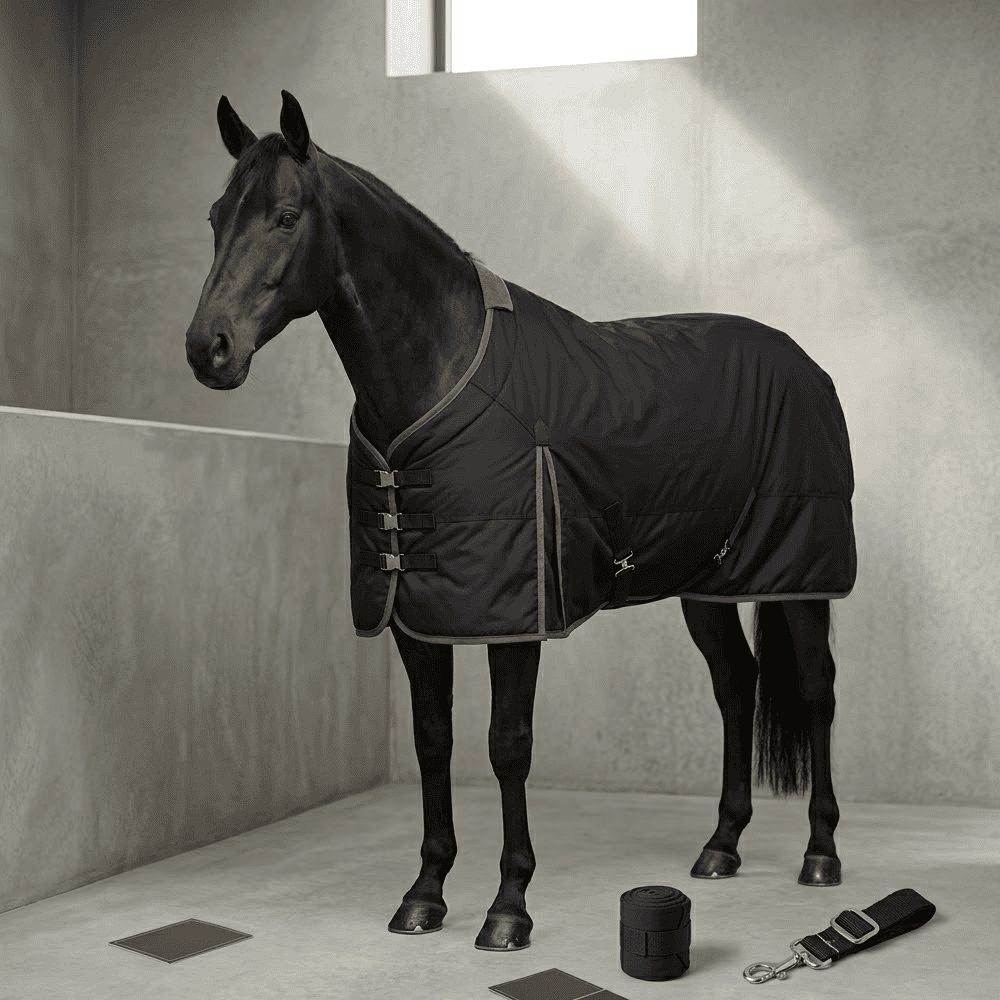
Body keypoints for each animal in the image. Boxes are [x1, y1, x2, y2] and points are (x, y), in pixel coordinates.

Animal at [185, 91, 854, 952]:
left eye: (287, 215)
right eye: (215, 216)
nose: (208, 348)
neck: (440, 372)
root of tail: (806, 363)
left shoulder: (513, 611)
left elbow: (508, 747)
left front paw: (509, 907)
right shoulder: (416, 613)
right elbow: (433, 740)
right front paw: (425, 895)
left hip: (801, 574)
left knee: (815, 691)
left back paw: (820, 853)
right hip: (705, 579)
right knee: (736, 684)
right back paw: (721, 847)